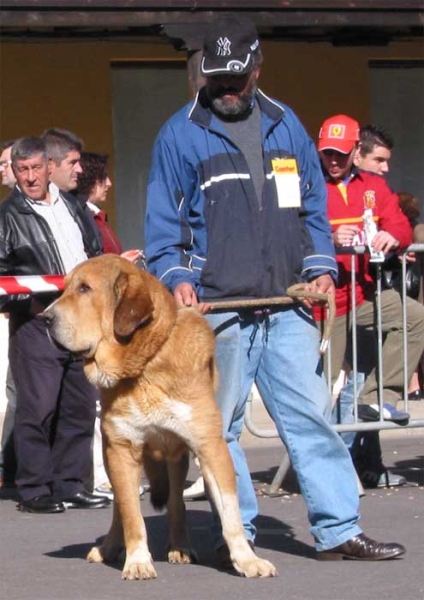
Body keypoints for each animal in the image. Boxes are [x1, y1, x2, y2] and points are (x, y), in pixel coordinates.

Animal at [42, 254, 274, 580]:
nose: (44, 318)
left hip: (176, 457)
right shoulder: (122, 448)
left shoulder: (210, 446)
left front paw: (246, 559)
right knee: (121, 507)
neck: (144, 365)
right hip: (113, 455)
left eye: (85, 288)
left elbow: (231, 513)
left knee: (176, 501)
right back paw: (109, 547)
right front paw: (138, 560)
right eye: (64, 288)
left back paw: (180, 547)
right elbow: (131, 514)